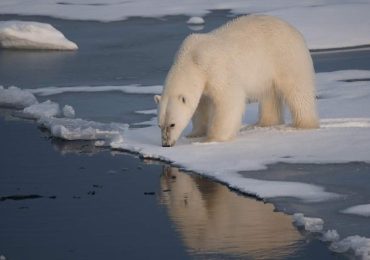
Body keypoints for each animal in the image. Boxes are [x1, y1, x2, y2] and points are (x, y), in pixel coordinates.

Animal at [155, 15, 320, 147]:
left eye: (172, 124)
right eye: (159, 125)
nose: (166, 144)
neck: (192, 58)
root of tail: (295, 30)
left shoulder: (216, 69)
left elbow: (228, 100)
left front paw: (212, 139)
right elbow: (201, 105)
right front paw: (195, 133)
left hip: (286, 58)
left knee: (297, 91)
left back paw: (303, 124)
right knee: (269, 95)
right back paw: (263, 123)